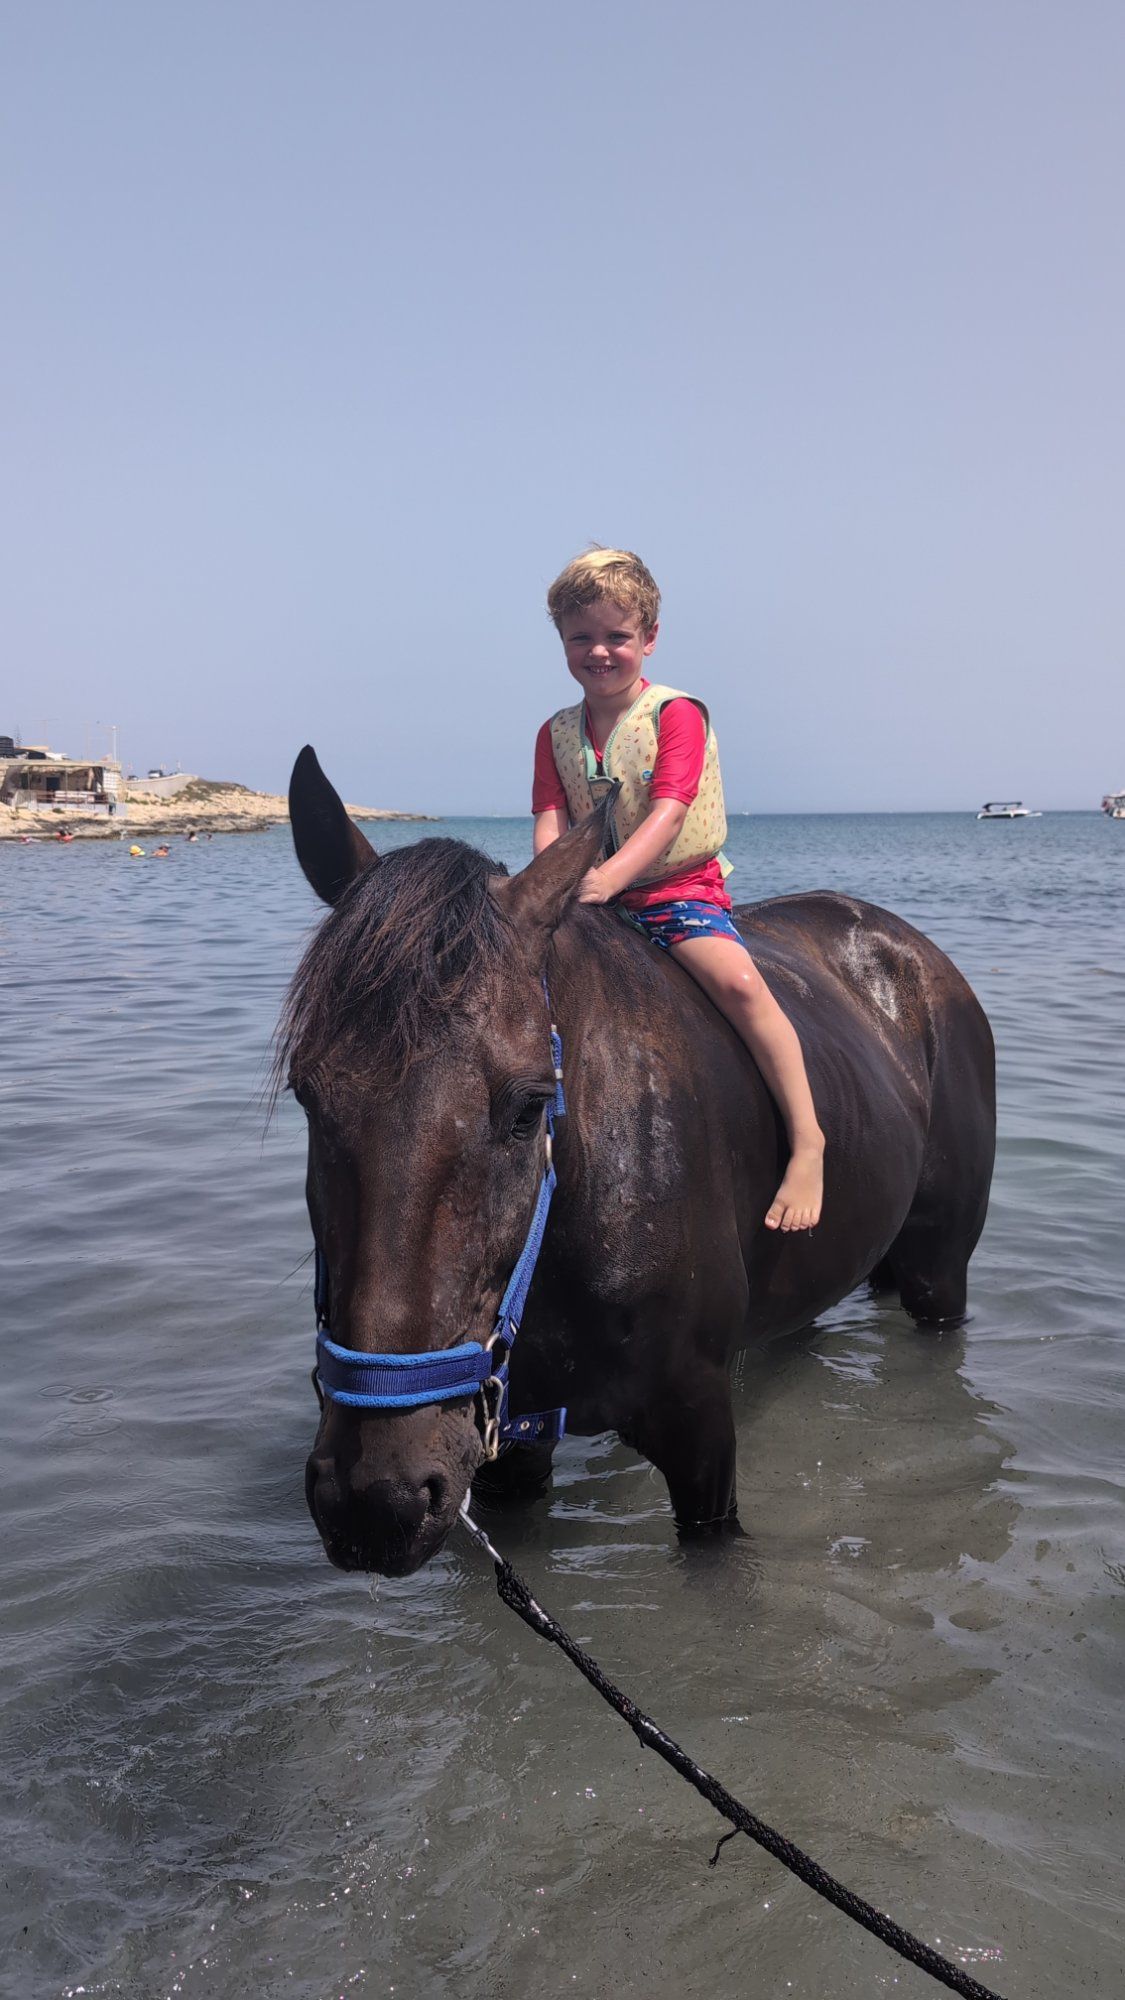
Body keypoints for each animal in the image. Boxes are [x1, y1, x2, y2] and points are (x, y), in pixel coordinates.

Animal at [282, 747, 995, 1578]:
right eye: (308, 1094)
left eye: (527, 1108)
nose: (375, 1497)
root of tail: (911, 952)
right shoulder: (508, 1448)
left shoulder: (698, 1430)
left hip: (938, 1271)